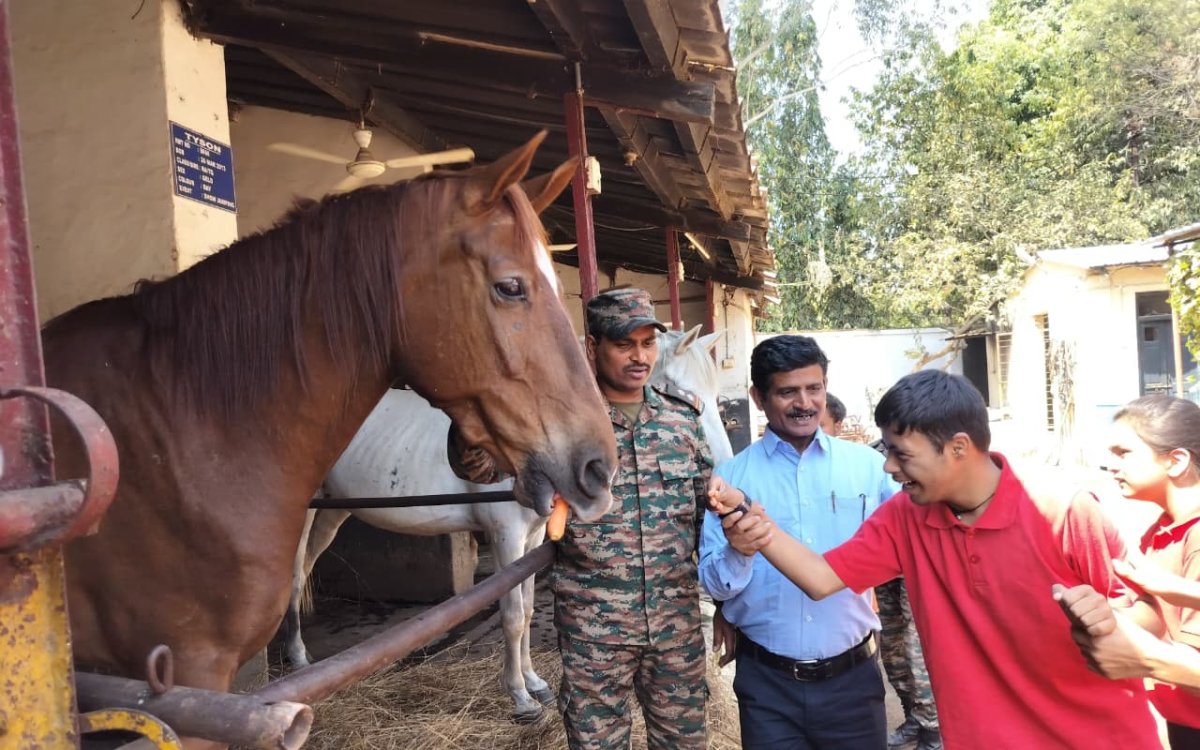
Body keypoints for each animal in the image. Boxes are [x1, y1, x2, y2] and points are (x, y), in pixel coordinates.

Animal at [284, 326, 732, 720]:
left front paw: (534, 683)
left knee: (305, 570)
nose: (722, 471)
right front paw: (520, 698)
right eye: (685, 395)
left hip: (334, 509)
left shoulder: (532, 539)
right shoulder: (506, 536)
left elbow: (530, 608)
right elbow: (513, 616)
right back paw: (299, 660)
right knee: (292, 576)